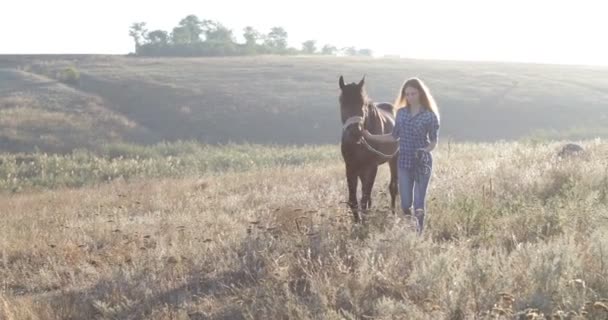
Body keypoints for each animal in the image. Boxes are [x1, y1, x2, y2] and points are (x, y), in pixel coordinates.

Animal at [338, 75, 400, 221]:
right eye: (342, 102)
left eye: (363, 103)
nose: (355, 132)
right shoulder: (351, 167)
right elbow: (353, 200)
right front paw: (357, 222)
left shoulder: (372, 167)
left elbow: (364, 199)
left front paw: (364, 221)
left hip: (394, 159)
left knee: (393, 187)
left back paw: (393, 214)